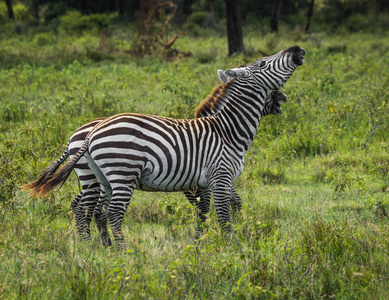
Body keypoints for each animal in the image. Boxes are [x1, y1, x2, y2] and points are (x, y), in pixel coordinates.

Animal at [24, 44, 304, 246]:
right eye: (264, 63)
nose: (298, 49)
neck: (227, 130)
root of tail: (89, 132)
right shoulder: (219, 176)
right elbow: (223, 212)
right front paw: (230, 247)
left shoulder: (204, 182)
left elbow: (207, 210)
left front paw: (199, 244)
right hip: (118, 172)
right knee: (108, 211)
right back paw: (119, 250)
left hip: (101, 176)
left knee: (93, 209)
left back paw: (104, 247)